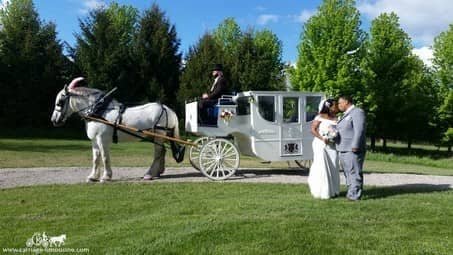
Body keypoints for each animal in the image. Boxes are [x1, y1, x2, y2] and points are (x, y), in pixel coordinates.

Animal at [50, 76, 183, 182]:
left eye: (60, 102)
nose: (54, 120)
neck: (98, 111)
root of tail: (168, 109)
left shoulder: (102, 140)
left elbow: (104, 157)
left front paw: (106, 177)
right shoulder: (94, 141)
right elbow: (95, 158)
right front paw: (93, 177)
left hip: (159, 134)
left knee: (158, 153)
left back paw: (149, 174)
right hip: (158, 135)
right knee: (163, 151)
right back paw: (158, 172)